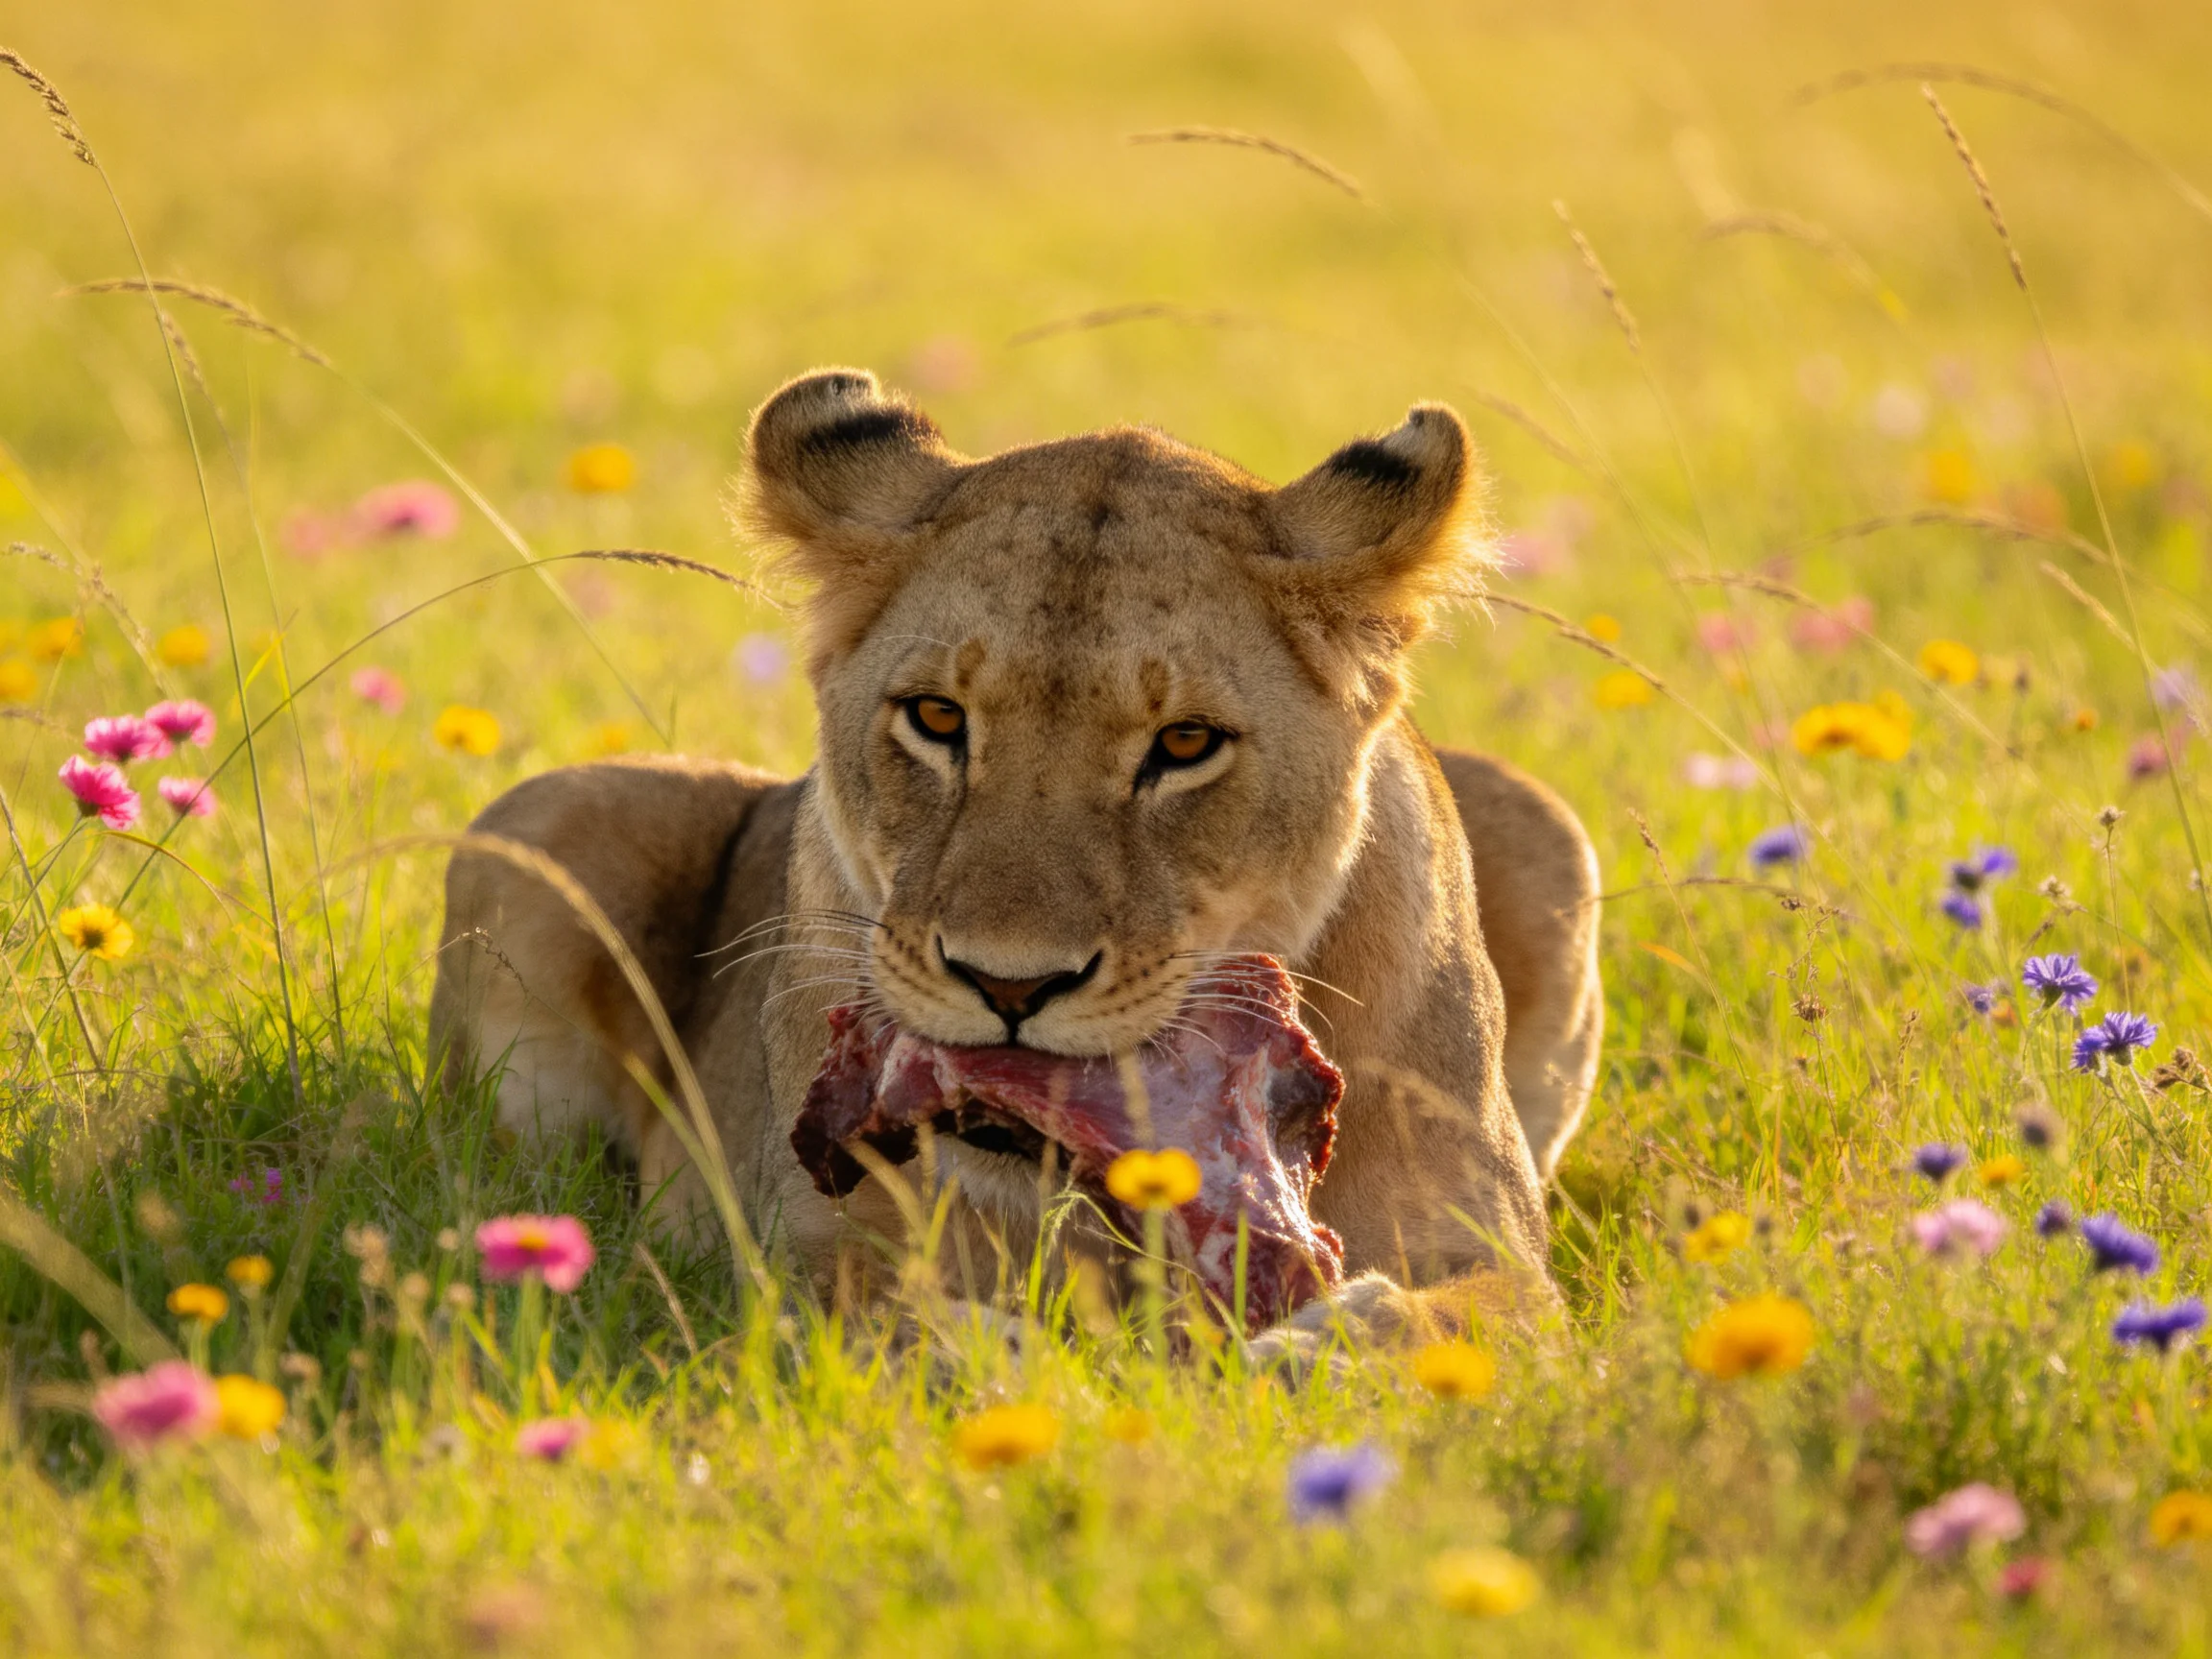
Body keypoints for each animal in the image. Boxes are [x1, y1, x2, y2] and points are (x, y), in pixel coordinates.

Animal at [428, 367, 1602, 1356]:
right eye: (938, 717)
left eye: (1185, 743)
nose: (1009, 987)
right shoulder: (800, 1250)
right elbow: (891, 1326)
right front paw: (1025, 1370)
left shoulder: (1486, 1246)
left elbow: (1453, 1322)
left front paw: (1311, 1356)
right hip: (542, 819)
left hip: (1547, 824)